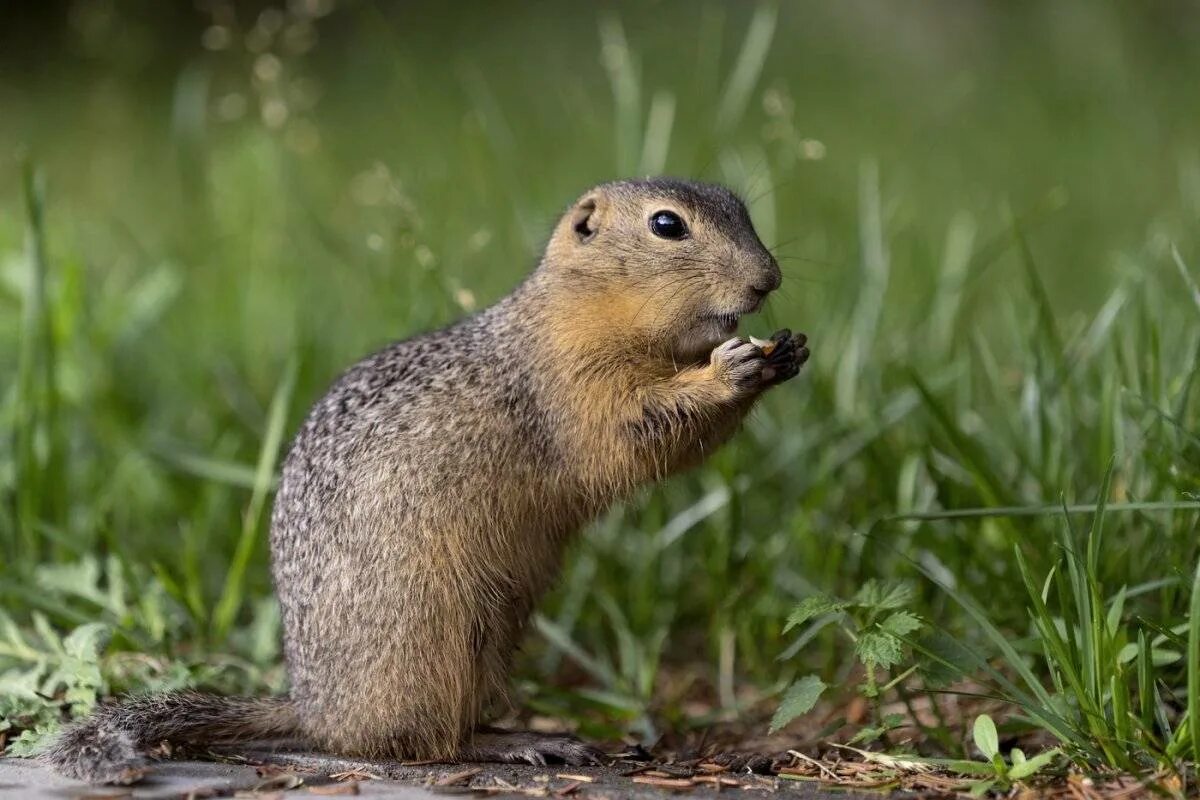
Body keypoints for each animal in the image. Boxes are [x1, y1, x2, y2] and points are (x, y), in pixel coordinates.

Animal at [46, 179, 816, 782]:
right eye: (667, 225)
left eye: (740, 206)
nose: (770, 279)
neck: (582, 308)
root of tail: (315, 707)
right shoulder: (575, 384)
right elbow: (634, 430)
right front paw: (732, 369)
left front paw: (786, 354)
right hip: (438, 631)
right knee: (416, 742)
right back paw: (514, 746)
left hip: (492, 627)